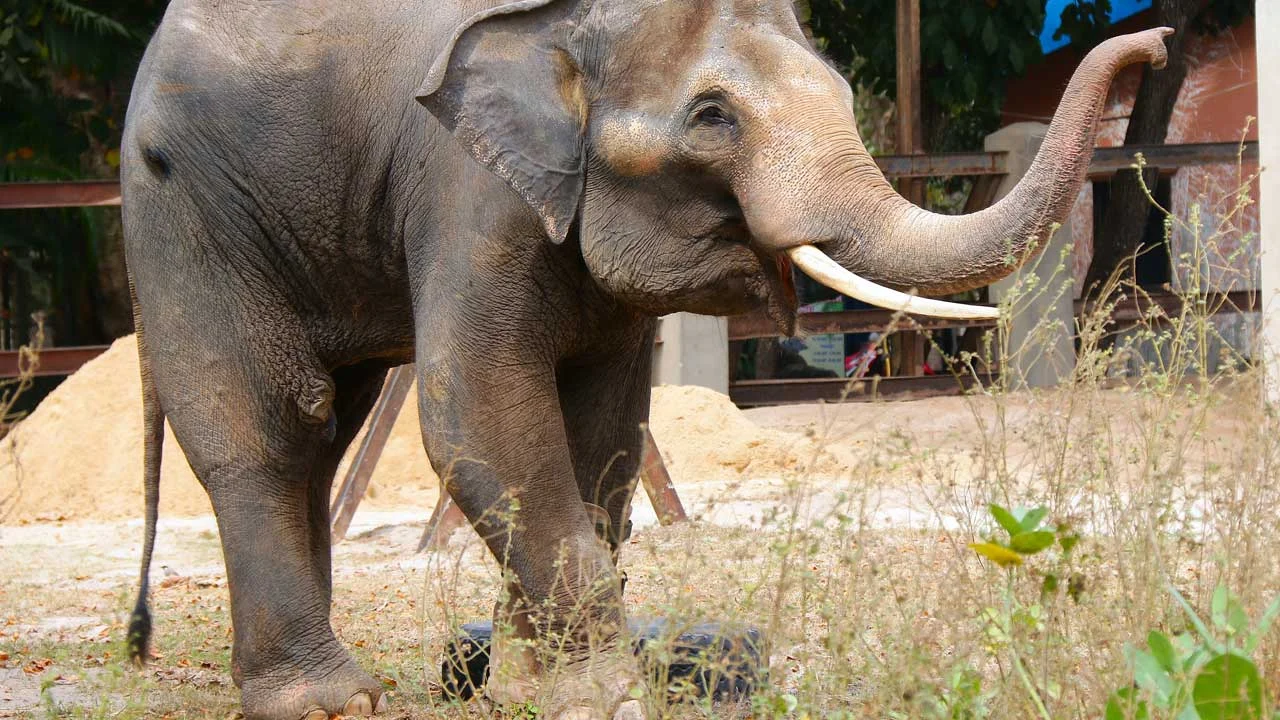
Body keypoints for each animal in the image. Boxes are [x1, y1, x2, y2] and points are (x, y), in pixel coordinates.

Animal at [118, 0, 1171, 718]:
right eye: (712, 118)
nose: (1154, 44)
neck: (568, 26)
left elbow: (604, 425)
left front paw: (534, 689)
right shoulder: (467, 185)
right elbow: (477, 413)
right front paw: (602, 694)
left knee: (330, 423)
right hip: (183, 207)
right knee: (271, 423)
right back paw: (326, 702)